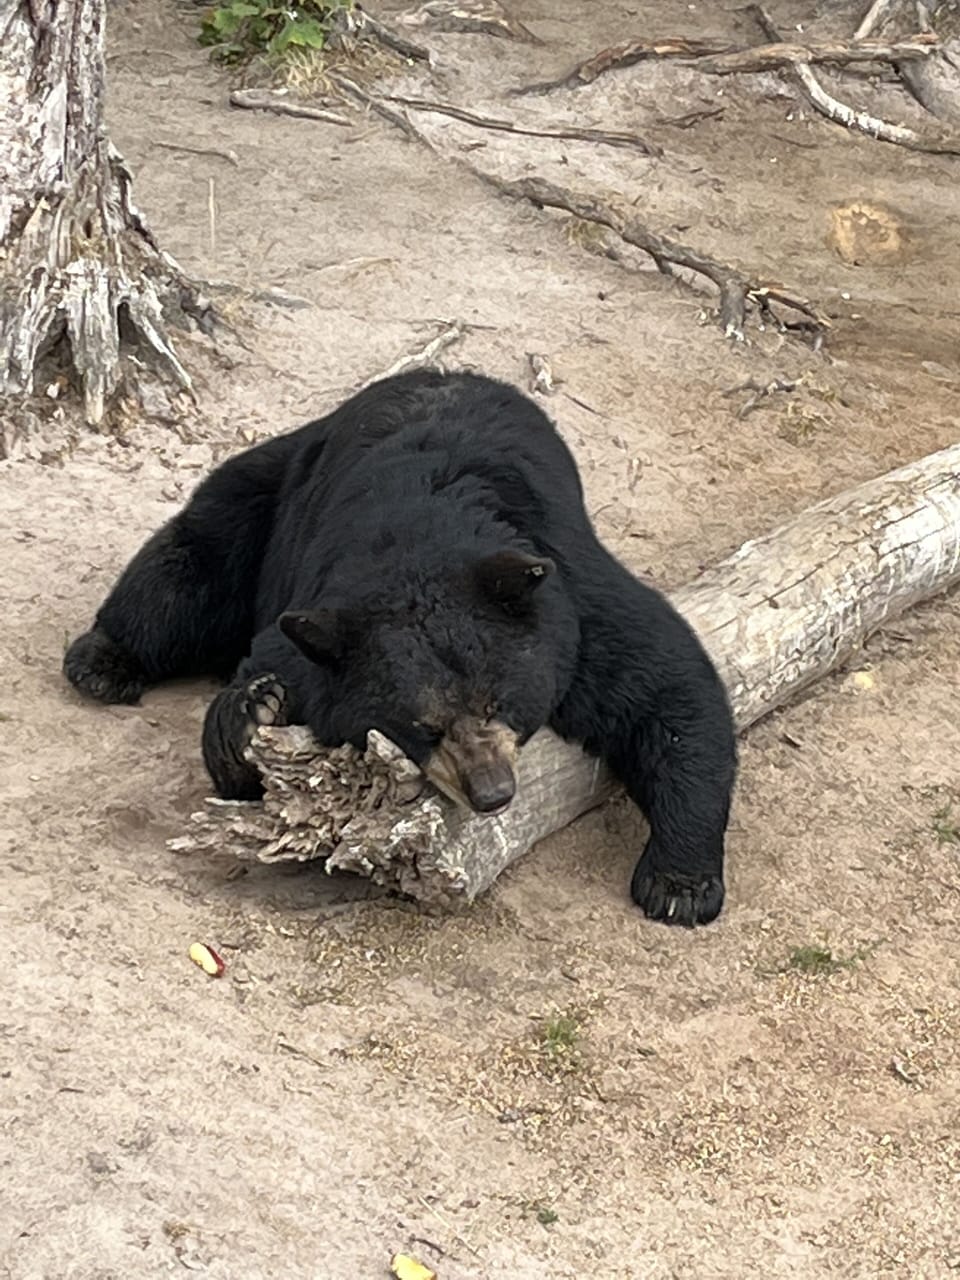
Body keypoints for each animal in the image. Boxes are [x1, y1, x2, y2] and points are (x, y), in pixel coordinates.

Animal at [63, 369, 737, 926]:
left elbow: (666, 686)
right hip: (269, 485)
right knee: (190, 565)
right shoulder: (318, 612)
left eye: (498, 703)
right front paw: (253, 714)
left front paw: (679, 885)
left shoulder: (567, 593)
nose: (492, 792)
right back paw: (102, 661)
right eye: (422, 726)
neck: (425, 533)